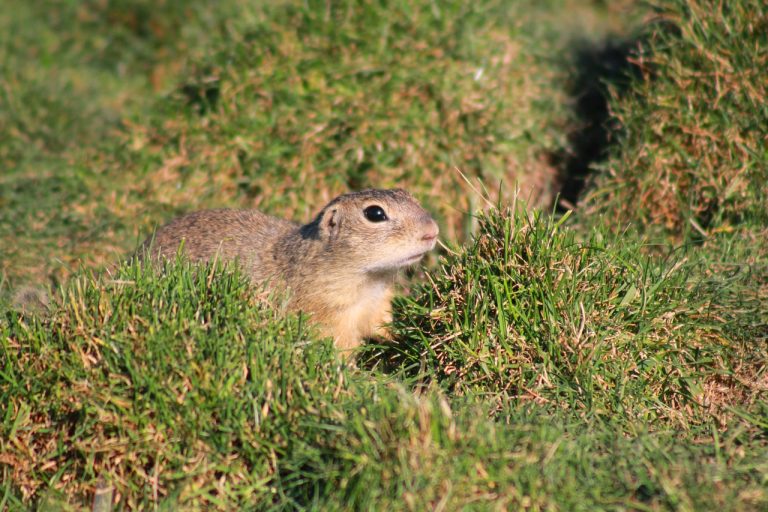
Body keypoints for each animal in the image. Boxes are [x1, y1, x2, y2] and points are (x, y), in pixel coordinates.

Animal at [140, 190, 438, 354]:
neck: (367, 282)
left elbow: (382, 326)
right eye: (375, 213)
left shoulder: (377, 305)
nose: (432, 231)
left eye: (410, 195)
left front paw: (404, 336)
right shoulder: (328, 318)